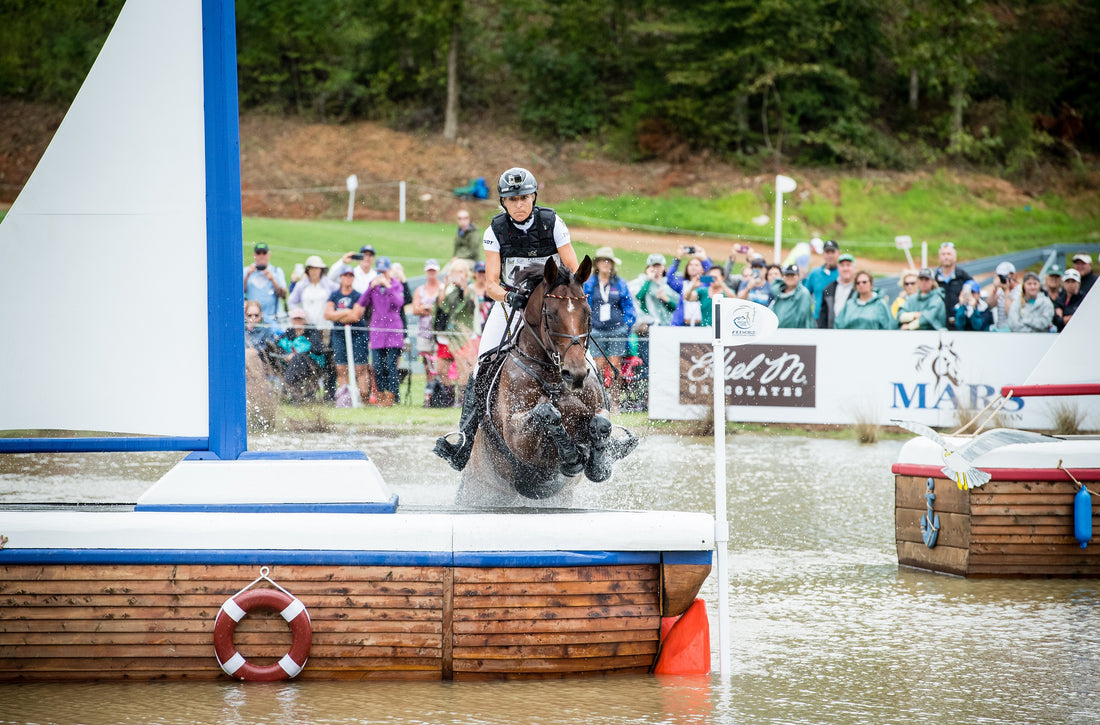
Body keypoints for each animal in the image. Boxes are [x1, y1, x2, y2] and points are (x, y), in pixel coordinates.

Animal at [457, 258, 638, 508]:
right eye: (551, 315)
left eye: (588, 313)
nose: (575, 374)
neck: (553, 377)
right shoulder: (517, 438)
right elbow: (546, 411)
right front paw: (570, 455)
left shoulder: (598, 408)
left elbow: (601, 421)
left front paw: (598, 463)